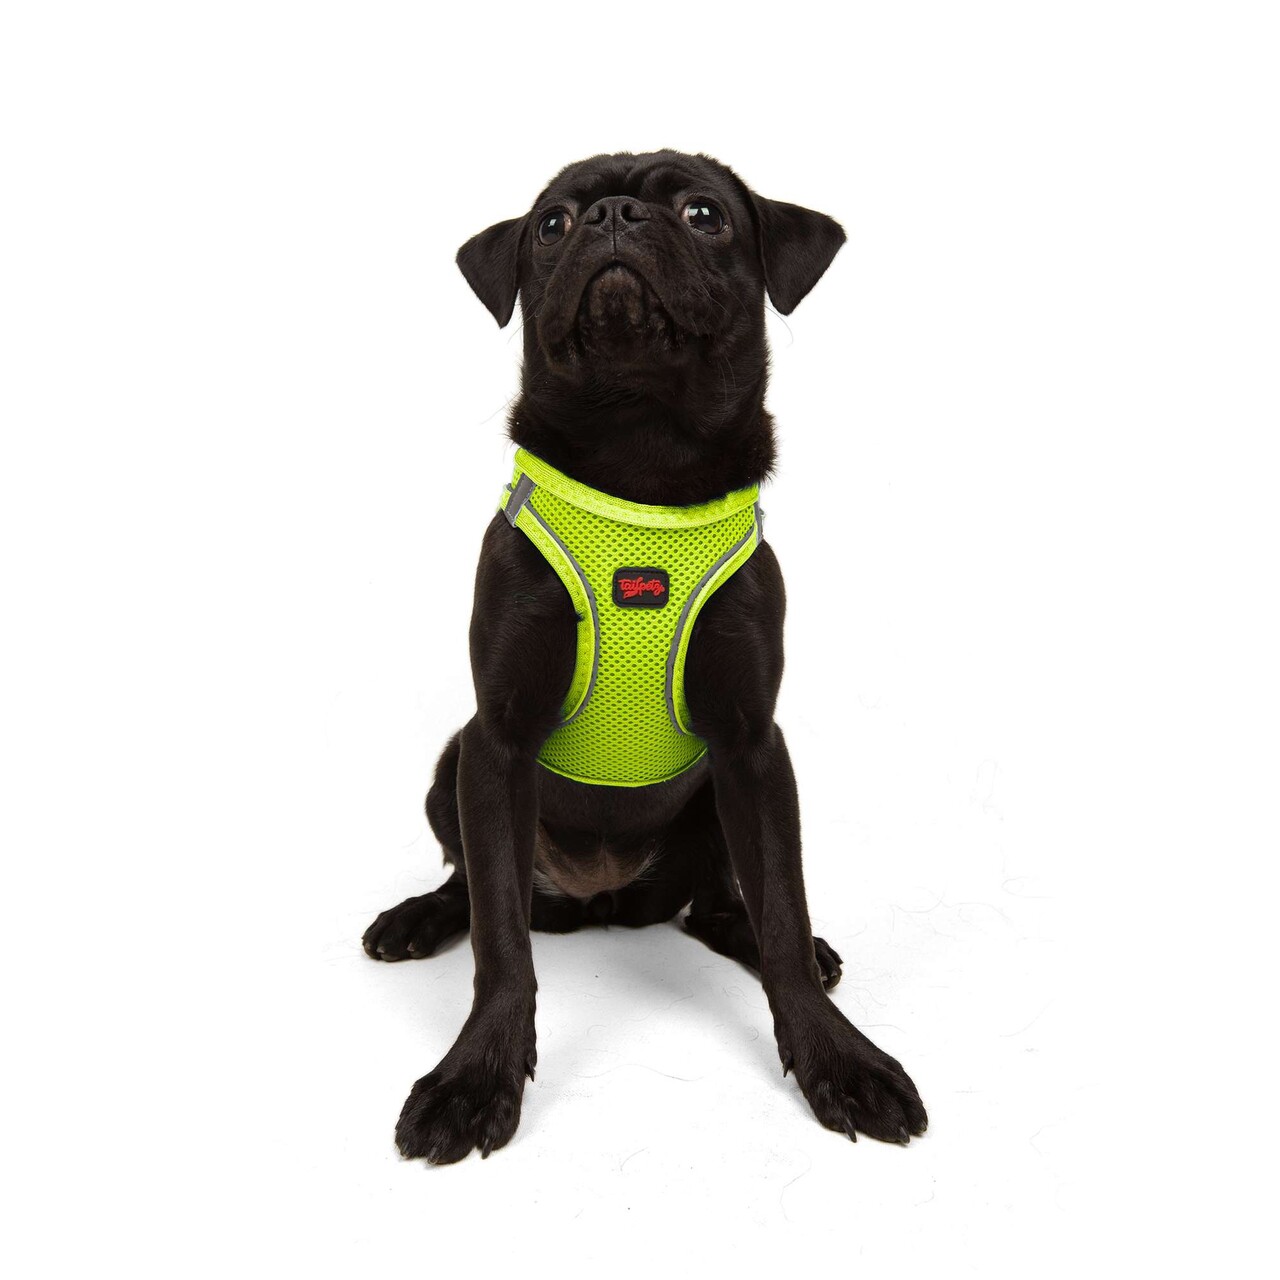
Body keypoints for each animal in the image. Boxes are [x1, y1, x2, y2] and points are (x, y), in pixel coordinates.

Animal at [363, 149, 927, 1163]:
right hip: (449, 766)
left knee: (724, 907)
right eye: (551, 224)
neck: (642, 462)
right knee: (472, 885)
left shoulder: (753, 744)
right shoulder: (496, 740)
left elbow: (784, 909)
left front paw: (839, 1061)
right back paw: (417, 919)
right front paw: (475, 1078)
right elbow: (501, 939)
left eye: (704, 213)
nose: (615, 214)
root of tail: (601, 901)